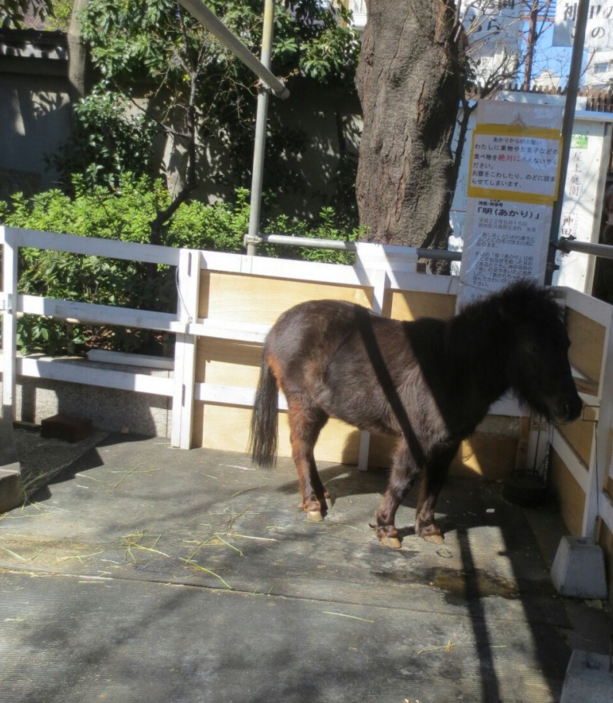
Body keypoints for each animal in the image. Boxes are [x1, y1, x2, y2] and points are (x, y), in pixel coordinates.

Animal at [247, 282, 580, 552]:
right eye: (533, 346)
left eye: (566, 344)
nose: (572, 408)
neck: (452, 367)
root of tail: (276, 329)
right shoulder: (417, 438)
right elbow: (402, 480)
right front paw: (386, 529)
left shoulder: (448, 442)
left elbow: (435, 483)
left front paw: (429, 529)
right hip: (303, 404)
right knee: (301, 449)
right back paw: (313, 505)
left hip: (319, 408)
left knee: (308, 450)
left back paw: (321, 495)